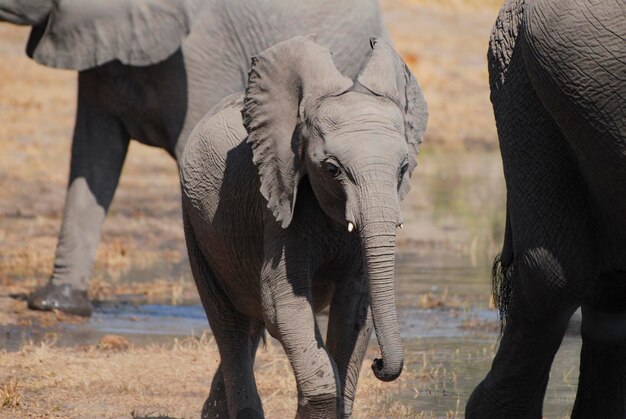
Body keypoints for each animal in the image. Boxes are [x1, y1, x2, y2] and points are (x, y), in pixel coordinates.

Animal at [178, 37, 426, 419]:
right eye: (332, 169)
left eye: (402, 169)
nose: (380, 364)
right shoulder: (277, 207)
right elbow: (283, 304)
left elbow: (355, 307)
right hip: (196, 224)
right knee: (230, 323)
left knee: (250, 323)